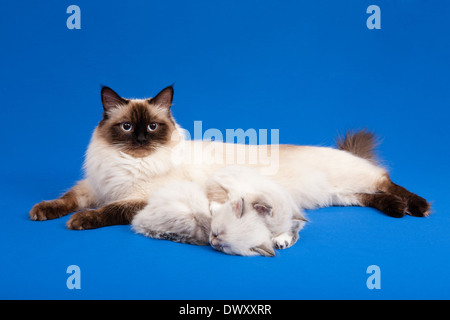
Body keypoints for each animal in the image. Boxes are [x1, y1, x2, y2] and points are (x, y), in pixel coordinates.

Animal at [29, 86, 430, 234]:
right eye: (127, 127)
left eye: (153, 127)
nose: (141, 139)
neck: (129, 164)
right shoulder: (93, 187)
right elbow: (65, 199)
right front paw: (42, 212)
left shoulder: (139, 199)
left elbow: (107, 211)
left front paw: (79, 222)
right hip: (342, 194)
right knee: (377, 196)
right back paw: (398, 210)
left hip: (355, 180)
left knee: (388, 182)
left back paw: (420, 208)